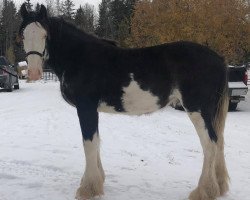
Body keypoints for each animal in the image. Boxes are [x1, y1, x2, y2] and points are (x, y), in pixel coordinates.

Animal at [19, 4, 229, 200]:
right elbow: (96, 142)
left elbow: (89, 143)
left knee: (210, 144)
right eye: (22, 35)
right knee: (218, 143)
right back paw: (219, 187)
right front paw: (97, 182)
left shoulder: (86, 108)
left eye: (45, 35)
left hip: (197, 109)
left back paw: (203, 191)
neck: (79, 58)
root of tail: (219, 59)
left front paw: (88, 189)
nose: (34, 73)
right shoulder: (93, 110)